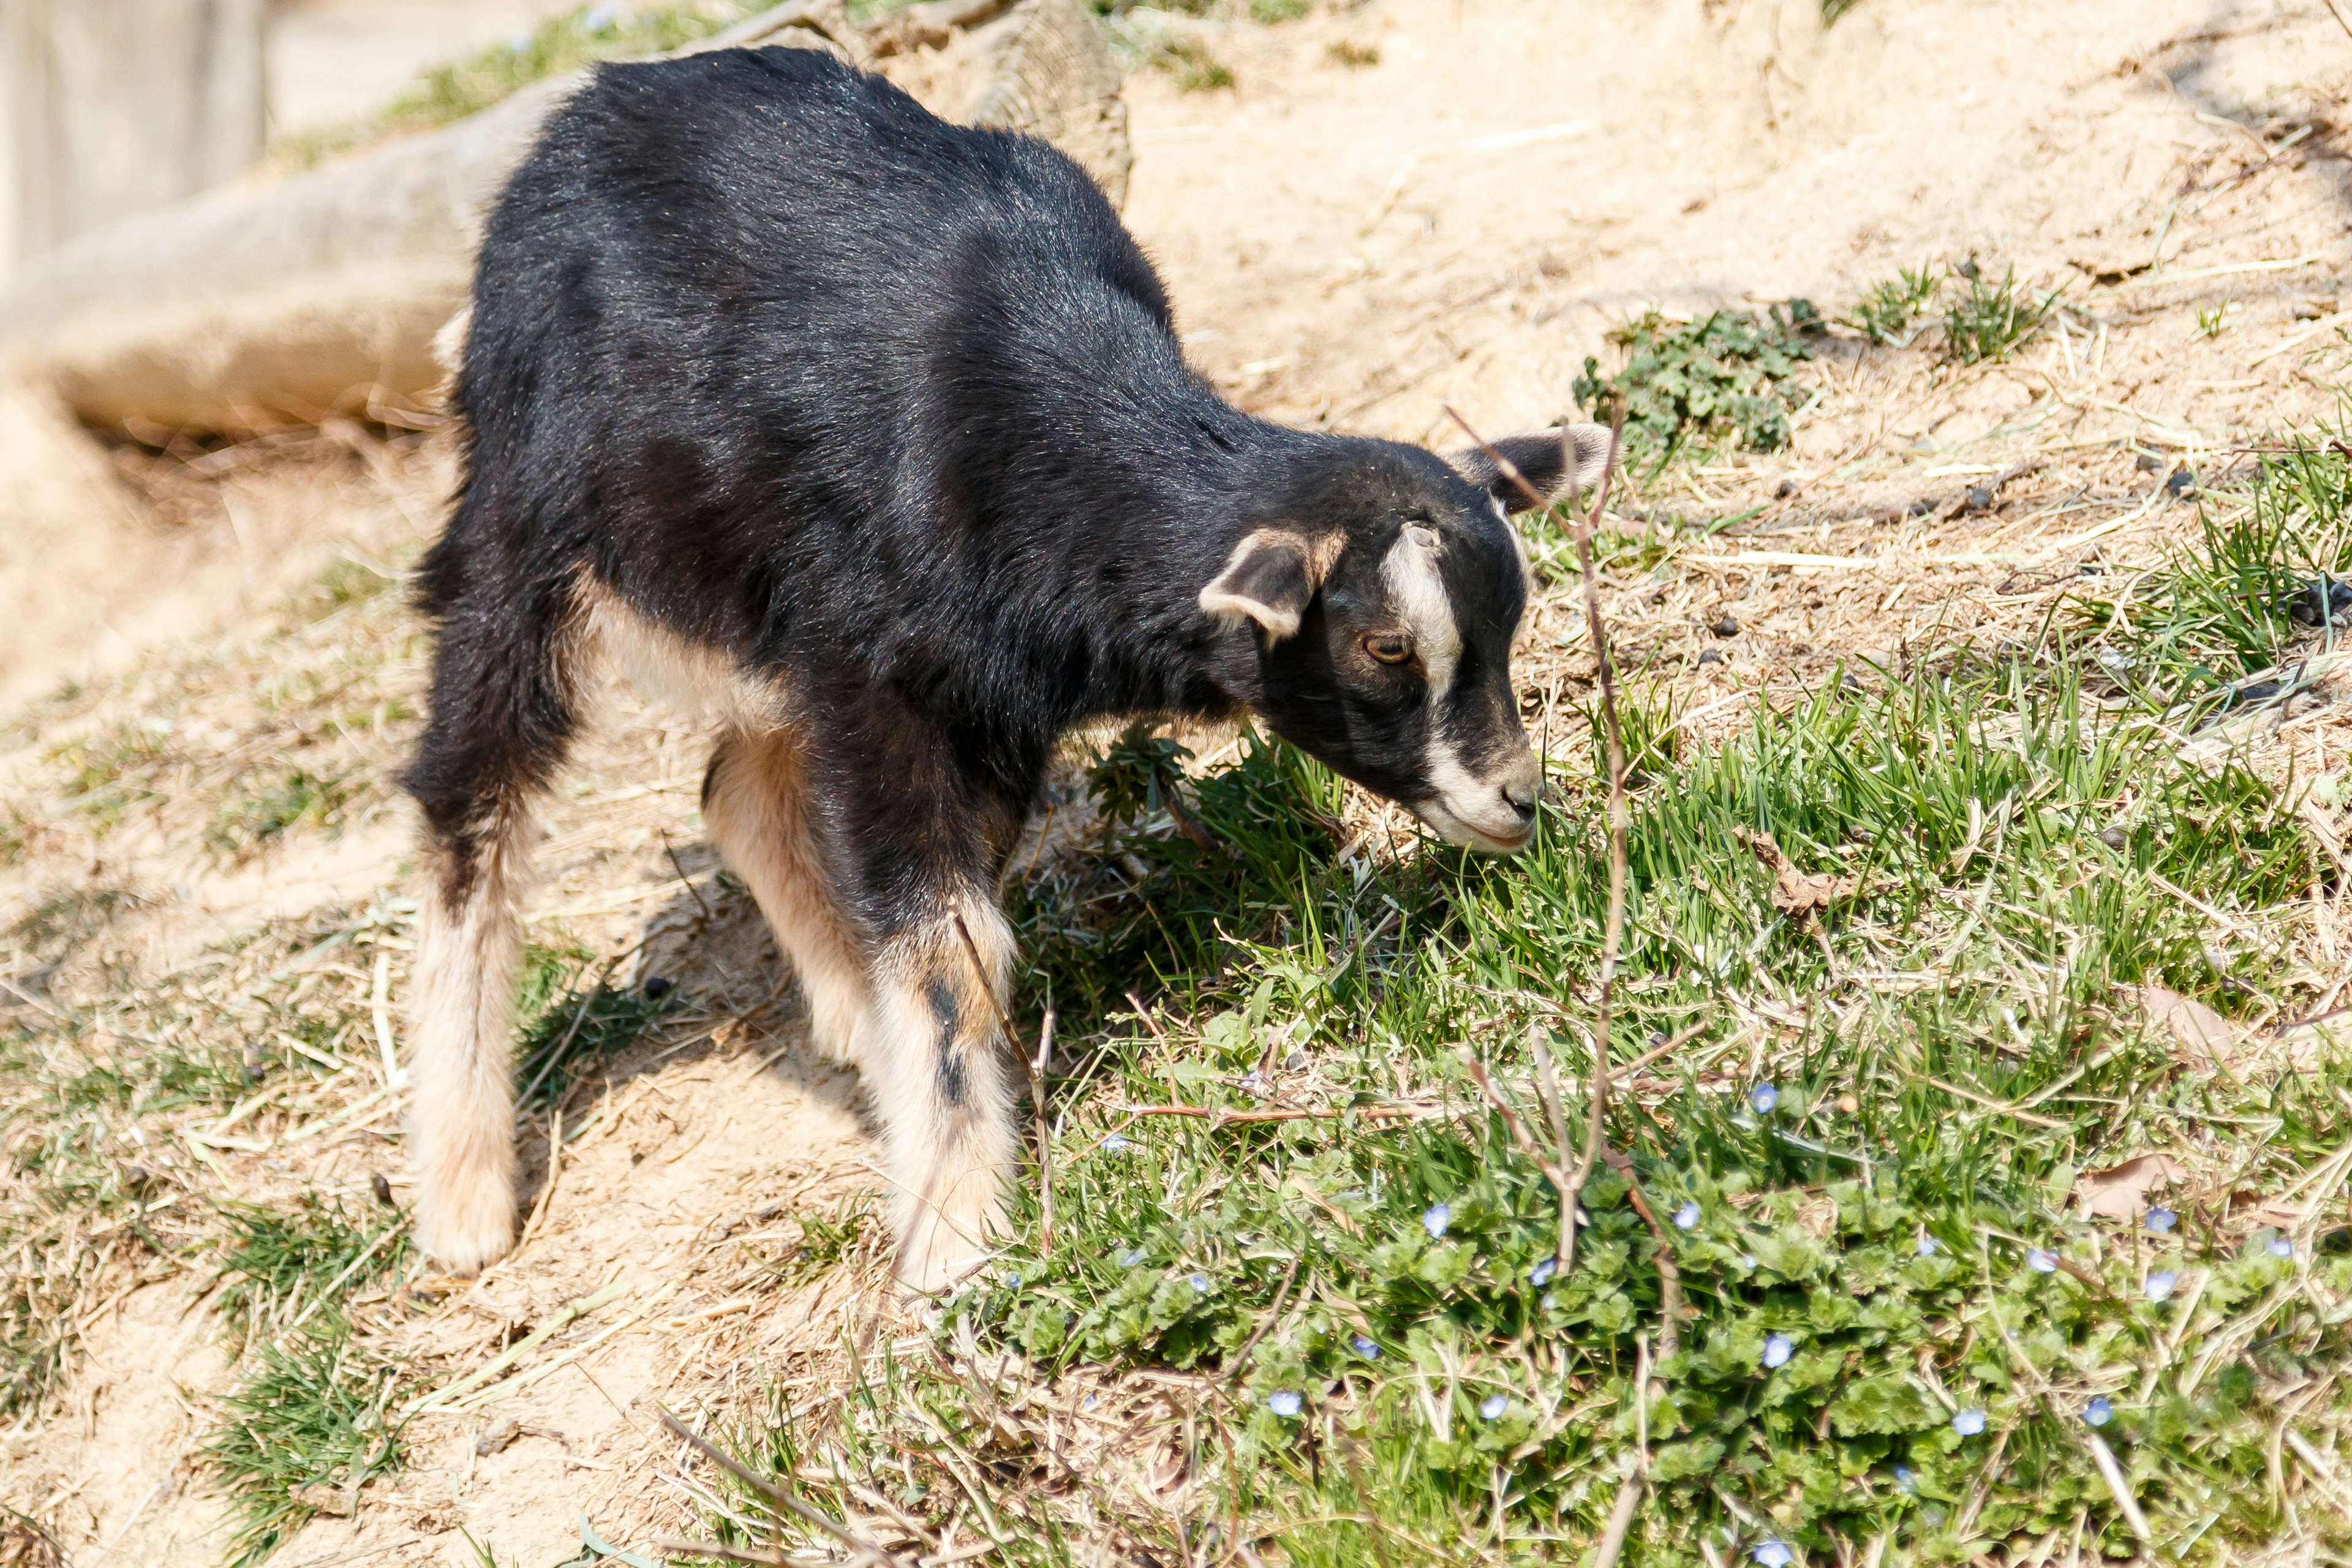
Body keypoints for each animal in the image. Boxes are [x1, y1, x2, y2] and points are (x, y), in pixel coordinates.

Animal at [409, 43, 1618, 1297]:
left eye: (1511, 626)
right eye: (1385, 646)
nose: (1517, 798)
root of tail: (585, 115)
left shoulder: (984, 693)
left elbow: (962, 937)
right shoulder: (877, 673)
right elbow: (950, 949)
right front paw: (954, 1236)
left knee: (736, 785)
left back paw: (846, 1016)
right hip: (526, 524)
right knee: (469, 797)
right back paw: (463, 1198)